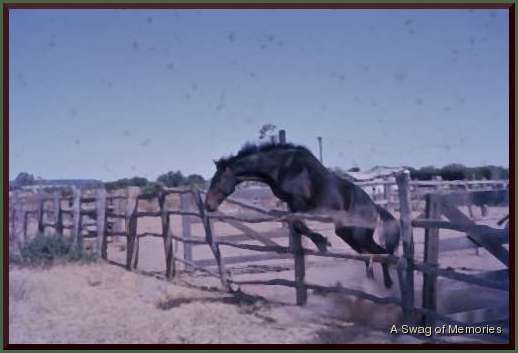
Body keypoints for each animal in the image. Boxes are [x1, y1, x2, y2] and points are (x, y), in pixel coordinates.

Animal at [206, 142, 402, 288]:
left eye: (217, 180)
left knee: (384, 254)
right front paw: (321, 242)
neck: (283, 166)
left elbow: (297, 224)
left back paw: (389, 284)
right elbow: (296, 224)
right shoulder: (291, 204)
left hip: (359, 234)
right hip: (348, 234)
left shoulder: (298, 202)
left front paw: (322, 242)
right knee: (371, 256)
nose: (208, 204)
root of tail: (375, 207)